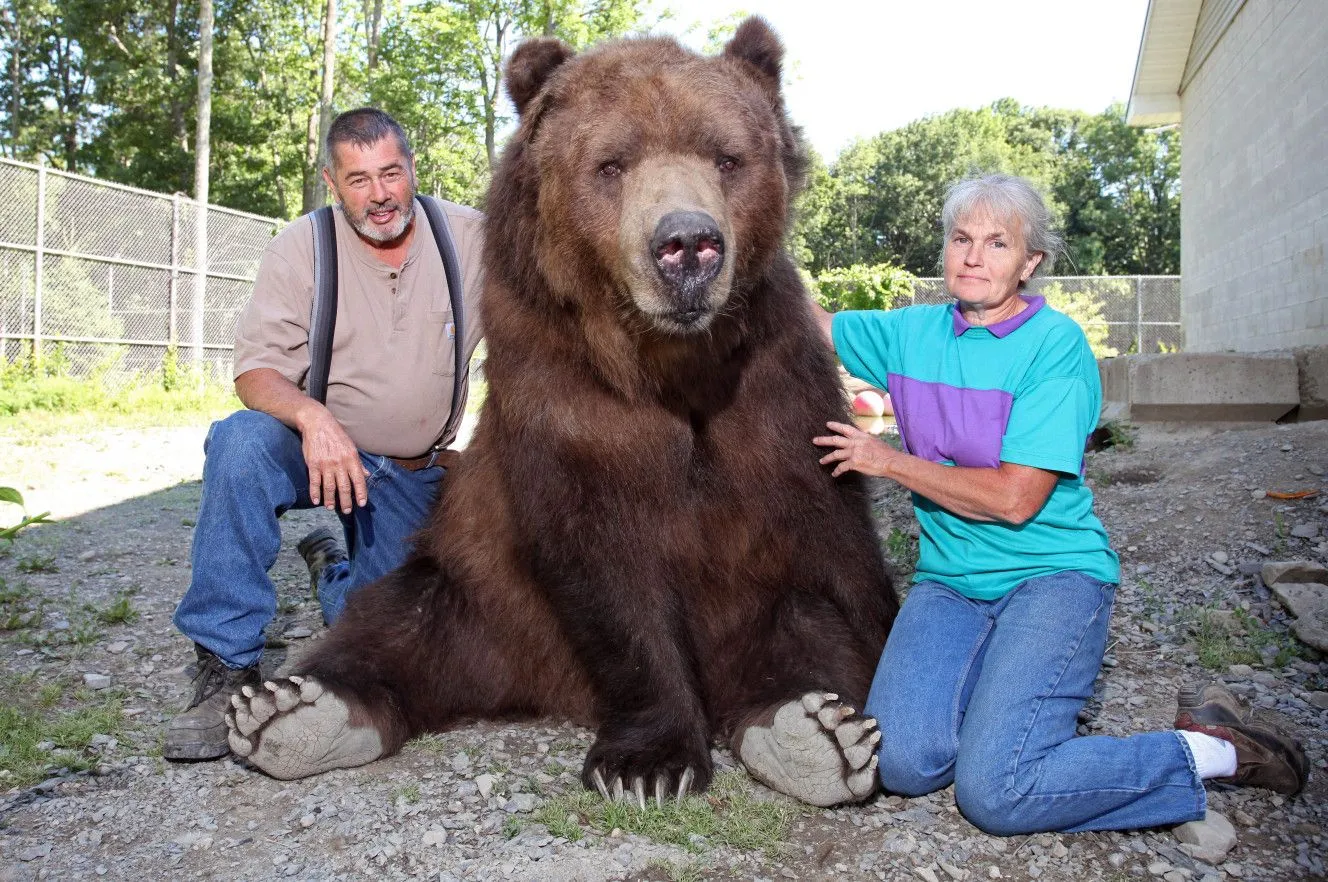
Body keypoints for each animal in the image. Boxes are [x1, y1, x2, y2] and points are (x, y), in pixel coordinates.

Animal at [225, 17, 899, 808]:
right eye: (611, 163)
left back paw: (817, 732)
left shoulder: (773, 390)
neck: (668, 364)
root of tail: (540, 689)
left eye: (727, 156)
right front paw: (647, 762)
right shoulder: (563, 391)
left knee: (797, 625)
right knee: (401, 623)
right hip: (483, 596)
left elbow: (834, 559)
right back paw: (290, 711)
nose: (687, 246)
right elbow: (601, 560)